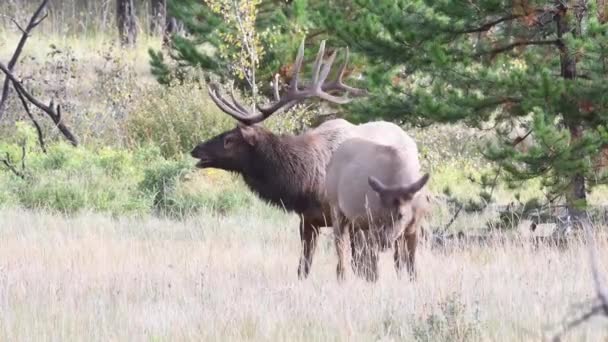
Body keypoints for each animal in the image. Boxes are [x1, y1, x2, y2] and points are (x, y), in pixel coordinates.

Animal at [326, 138, 430, 282]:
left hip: (357, 223)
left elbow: (409, 263)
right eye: (381, 214)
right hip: (336, 210)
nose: (384, 241)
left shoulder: (414, 228)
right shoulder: (373, 224)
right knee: (342, 248)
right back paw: (343, 277)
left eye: (401, 215)